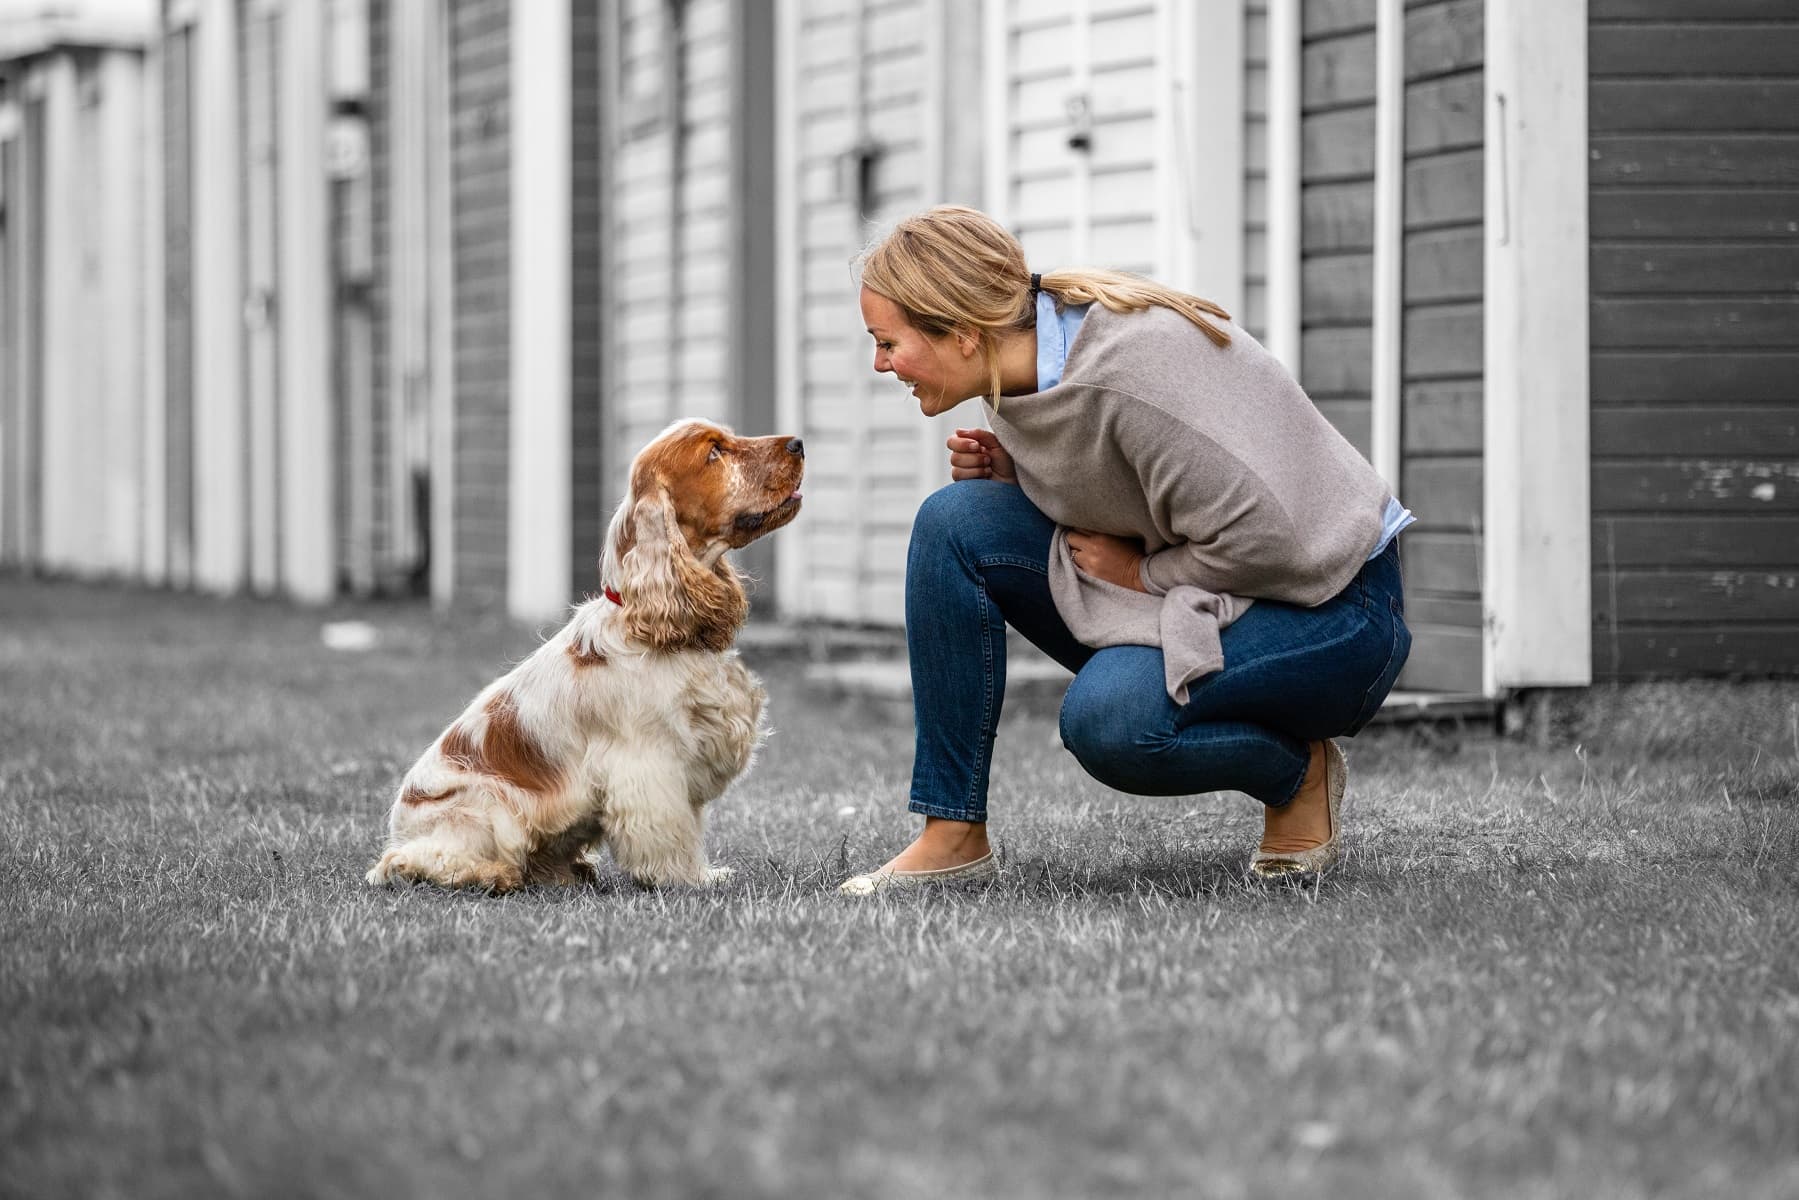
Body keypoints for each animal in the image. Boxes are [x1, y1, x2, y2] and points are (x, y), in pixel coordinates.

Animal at [365, 420, 802, 892]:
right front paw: (687, 879)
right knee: (409, 861)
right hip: (485, 804)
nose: (798, 444)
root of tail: (399, 825)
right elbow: (670, 833)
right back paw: (491, 874)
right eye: (714, 453)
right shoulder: (649, 764)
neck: (651, 624)